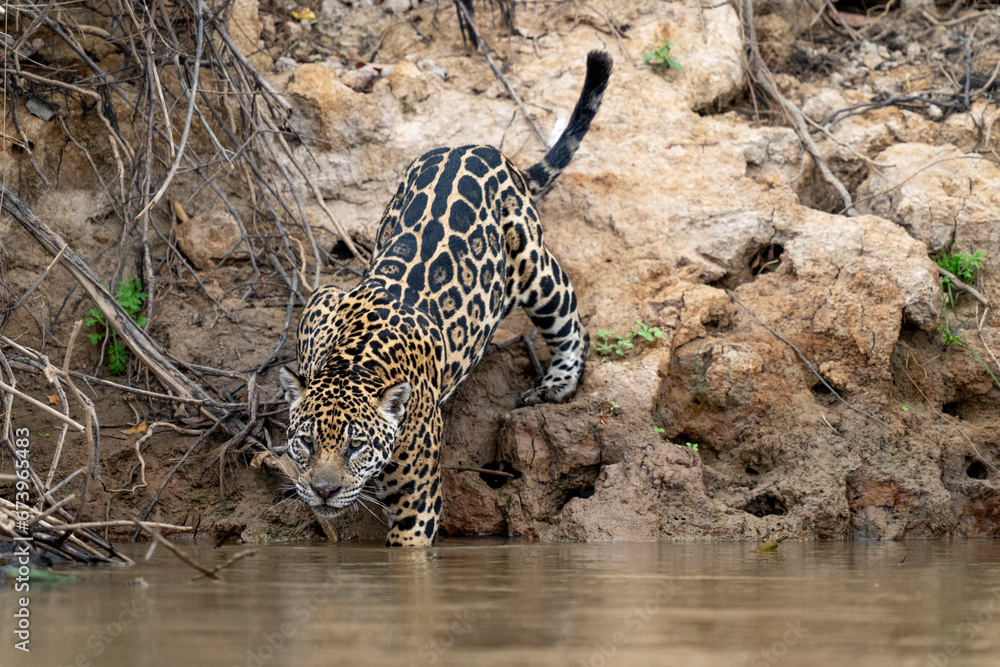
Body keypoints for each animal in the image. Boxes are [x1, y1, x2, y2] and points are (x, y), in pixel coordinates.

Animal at [278, 50, 613, 547]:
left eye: (356, 445)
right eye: (306, 441)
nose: (323, 490)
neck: (352, 359)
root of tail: (481, 148)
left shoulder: (416, 497)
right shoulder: (323, 298)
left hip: (533, 266)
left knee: (570, 318)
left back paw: (557, 384)